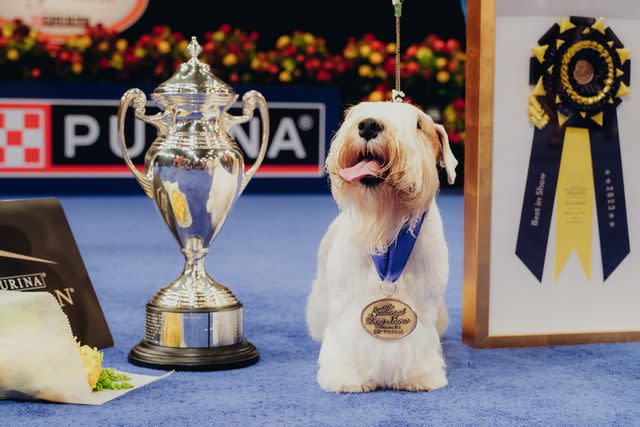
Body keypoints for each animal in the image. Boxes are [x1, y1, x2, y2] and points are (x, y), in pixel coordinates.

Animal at [308, 102, 458, 392]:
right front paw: (346, 377)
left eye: (418, 125)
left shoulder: (424, 306)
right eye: (355, 112)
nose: (368, 125)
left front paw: (420, 376)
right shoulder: (345, 303)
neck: (387, 229)